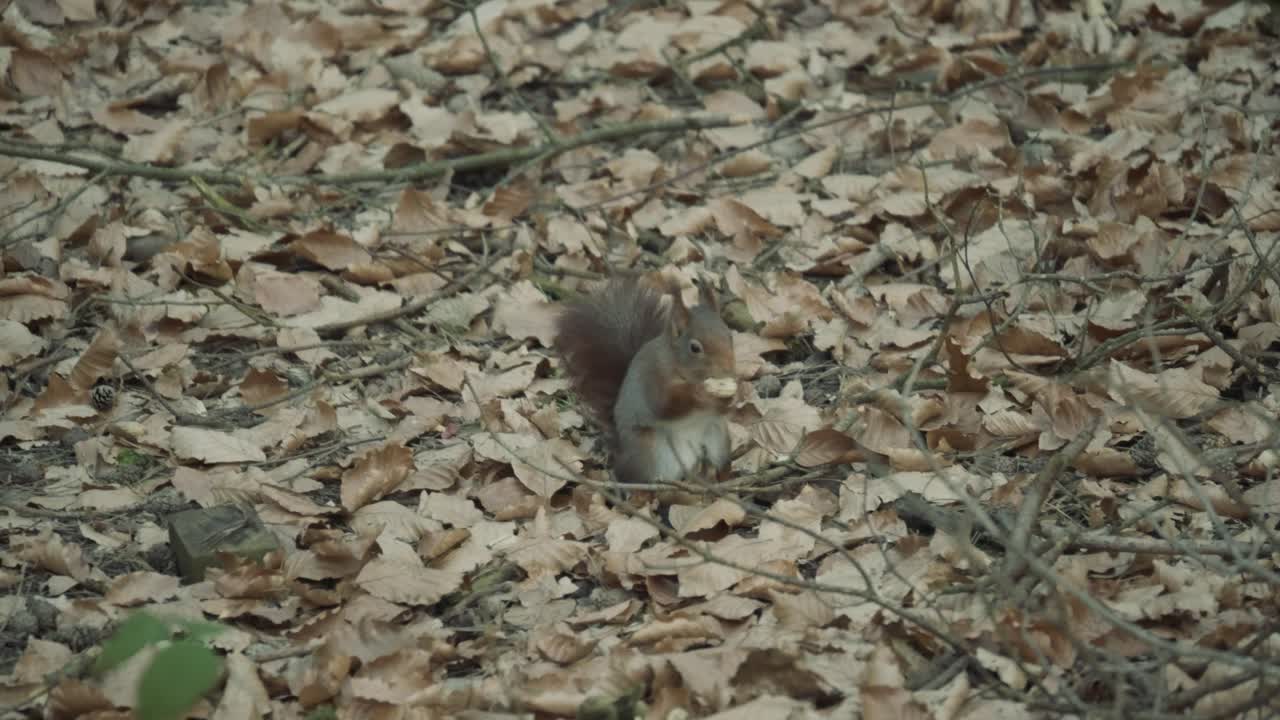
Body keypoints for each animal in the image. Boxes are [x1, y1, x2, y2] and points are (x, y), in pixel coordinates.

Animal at [554, 275, 737, 487]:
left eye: (730, 335)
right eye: (695, 348)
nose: (728, 370)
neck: (679, 367)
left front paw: (731, 395)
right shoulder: (654, 377)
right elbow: (666, 404)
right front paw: (700, 392)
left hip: (718, 440)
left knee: (717, 463)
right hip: (648, 451)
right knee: (630, 476)